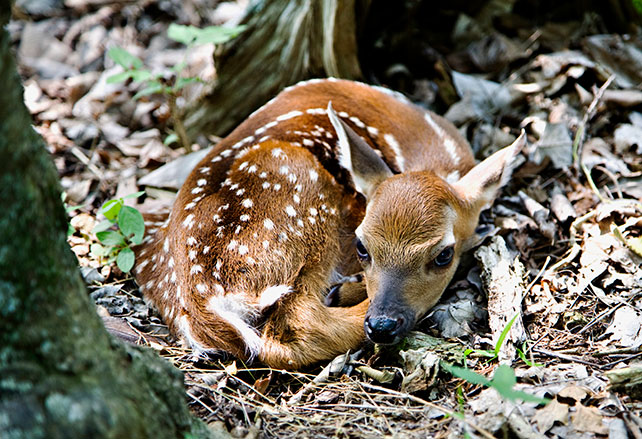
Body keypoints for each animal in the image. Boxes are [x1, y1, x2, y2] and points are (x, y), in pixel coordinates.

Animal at [133, 78, 525, 369]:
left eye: (444, 255)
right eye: (361, 246)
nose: (382, 325)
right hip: (298, 192)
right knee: (296, 325)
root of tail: (200, 301)